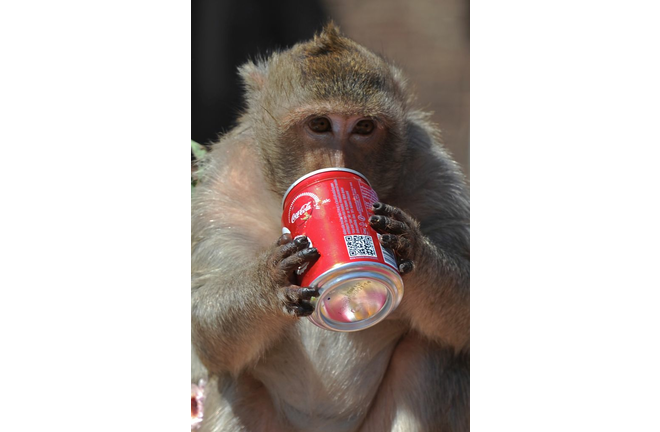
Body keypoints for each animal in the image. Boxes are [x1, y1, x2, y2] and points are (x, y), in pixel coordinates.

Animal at [191, 23, 469, 432]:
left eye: (364, 127)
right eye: (320, 125)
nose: (338, 162)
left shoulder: (432, 169)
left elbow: (465, 312)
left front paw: (407, 243)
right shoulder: (223, 186)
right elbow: (206, 328)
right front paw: (273, 276)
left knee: (428, 352)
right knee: (236, 378)